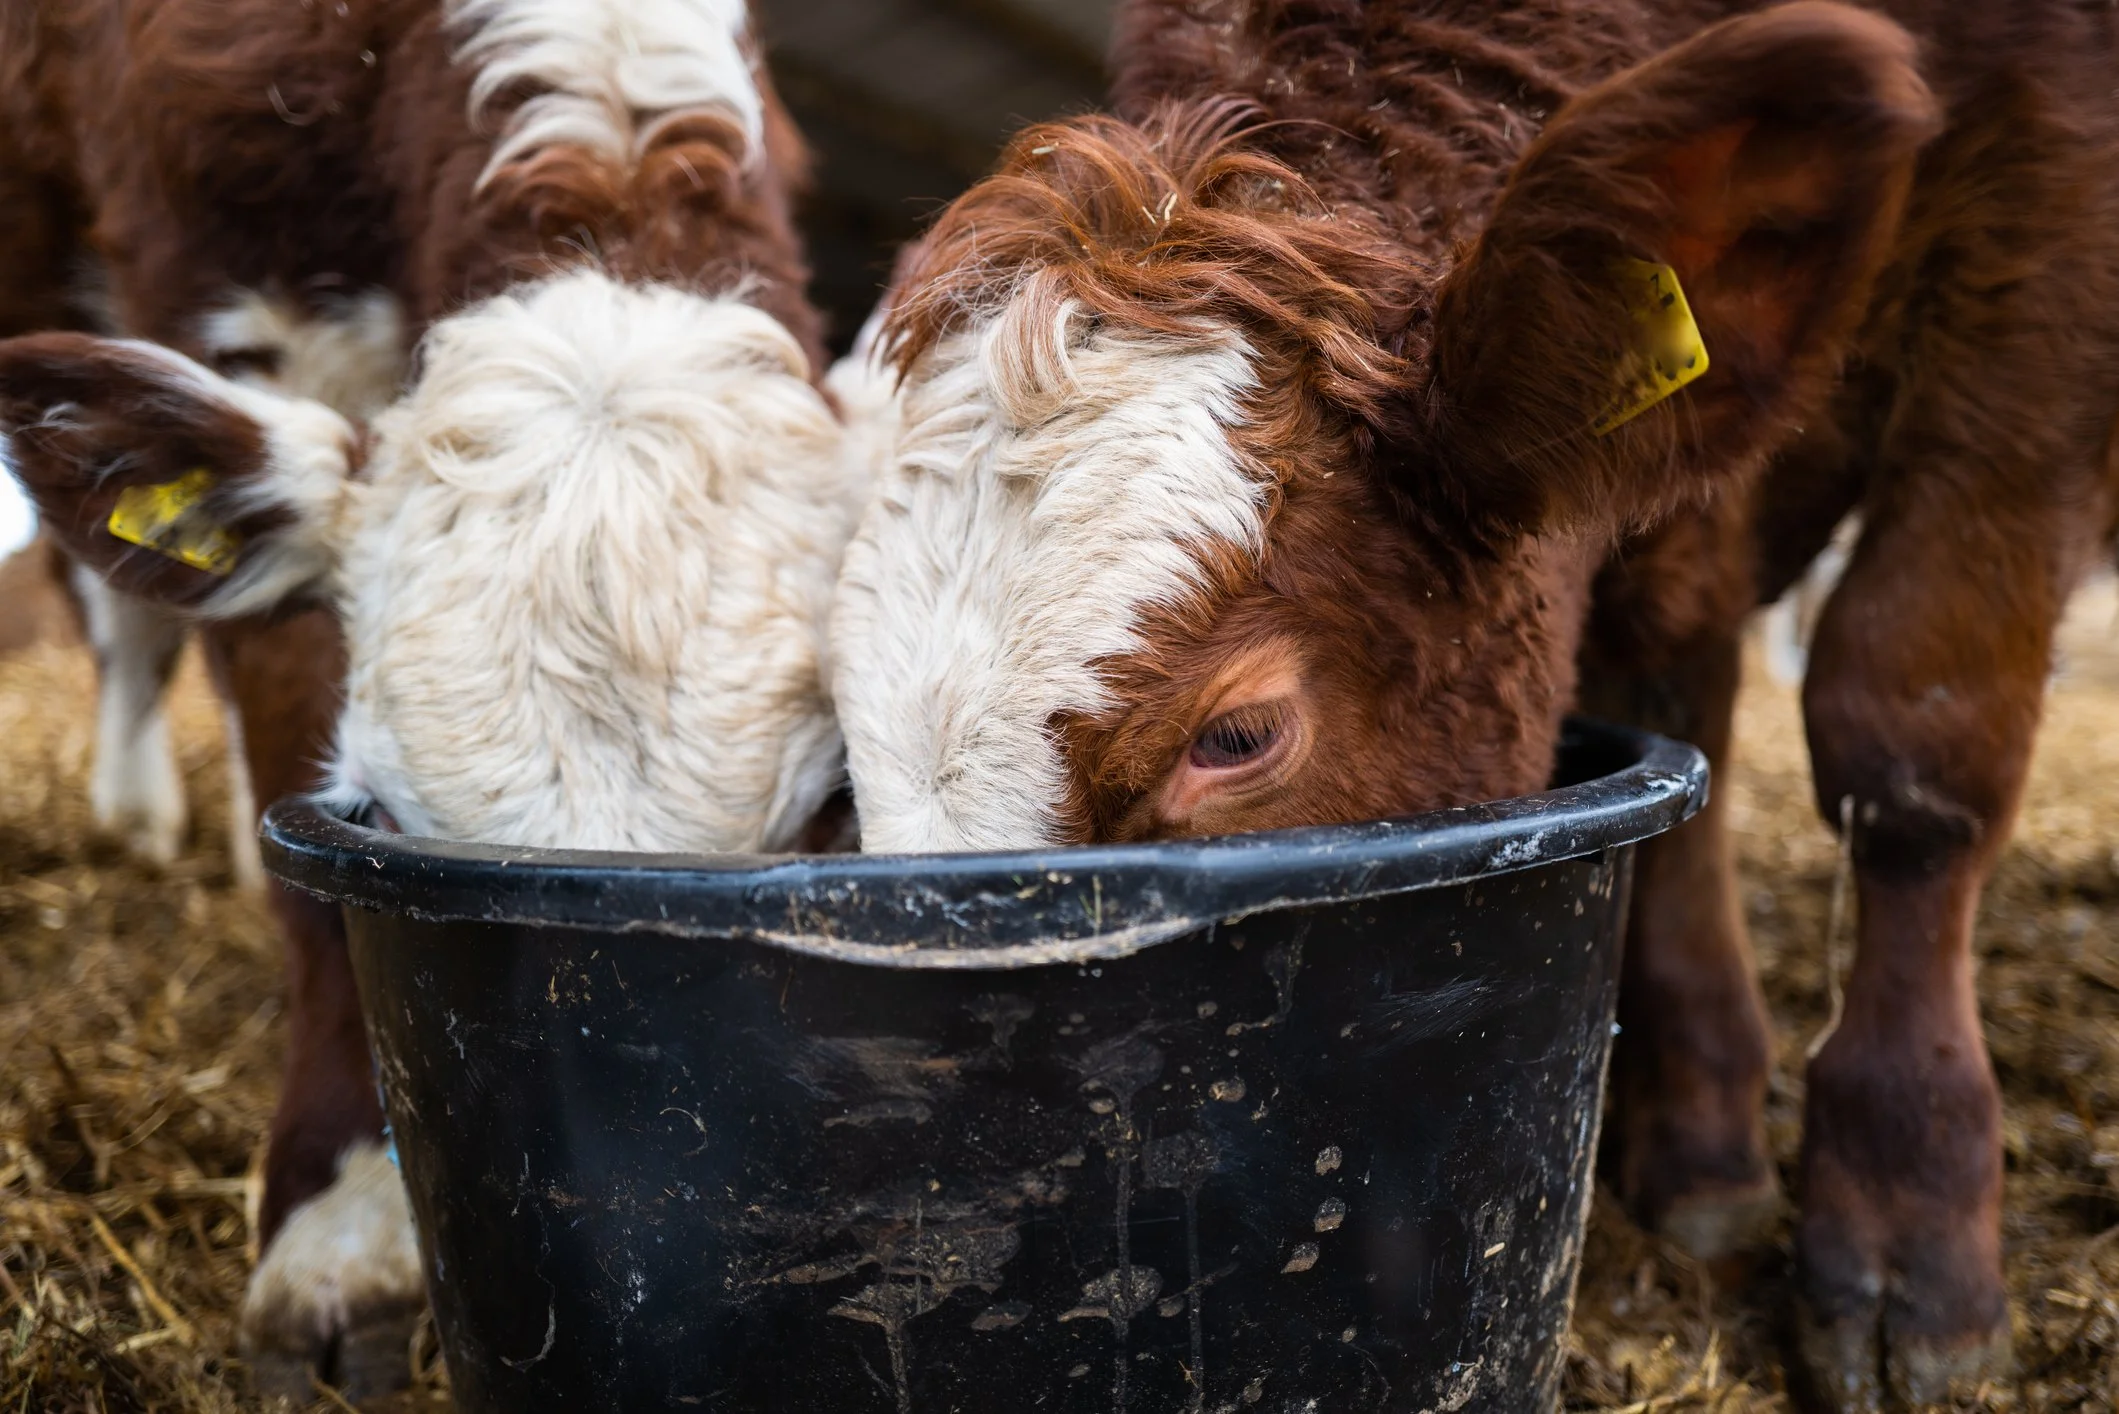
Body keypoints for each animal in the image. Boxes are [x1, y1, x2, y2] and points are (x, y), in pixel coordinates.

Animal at [0, 0, 862, 1396]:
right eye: (373, 815)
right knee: (123, 618)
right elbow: (278, 699)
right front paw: (338, 1230)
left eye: (834, 807)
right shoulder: (229, 285)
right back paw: (136, 814)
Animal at [829, 2, 2119, 1408]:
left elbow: (1913, 728)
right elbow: (1675, 676)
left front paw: (1905, 1228)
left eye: (1237, 737)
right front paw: (1701, 1138)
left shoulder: (2052, 212)